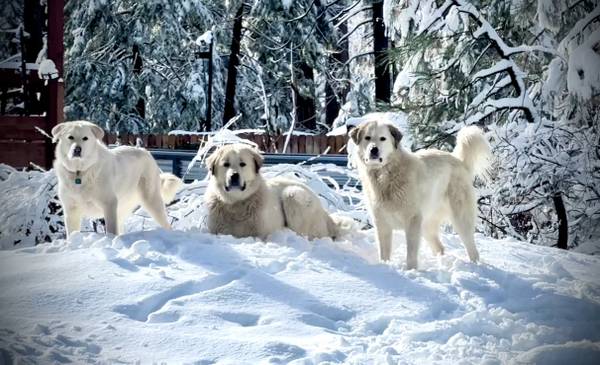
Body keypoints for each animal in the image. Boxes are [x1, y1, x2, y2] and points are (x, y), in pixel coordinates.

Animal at [51, 121, 182, 237]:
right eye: (70, 137)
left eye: (85, 138)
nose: (77, 150)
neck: (80, 172)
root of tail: (144, 150)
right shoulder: (70, 210)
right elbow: (71, 234)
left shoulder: (109, 204)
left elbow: (111, 230)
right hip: (123, 207)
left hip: (152, 200)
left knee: (166, 224)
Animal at [205, 144, 352, 240]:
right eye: (226, 164)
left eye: (242, 164)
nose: (234, 176)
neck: (236, 203)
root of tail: (326, 216)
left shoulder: (261, 234)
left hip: (292, 195)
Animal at [346, 118, 492, 268]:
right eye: (367, 138)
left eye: (383, 138)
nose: (373, 150)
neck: (386, 174)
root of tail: (458, 161)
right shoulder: (382, 223)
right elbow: (384, 252)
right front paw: (385, 266)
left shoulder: (412, 220)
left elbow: (411, 252)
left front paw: (411, 269)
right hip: (427, 224)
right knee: (440, 247)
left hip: (460, 218)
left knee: (472, 248)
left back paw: (475, 265)